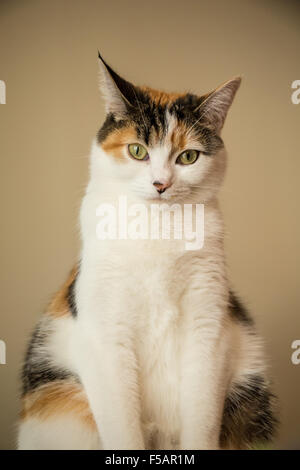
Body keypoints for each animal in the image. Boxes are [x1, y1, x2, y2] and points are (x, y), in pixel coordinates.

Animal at [17, 53, 278, 450]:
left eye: (188, 156)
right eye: (137, 151)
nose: (161, 184)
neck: (158, 228)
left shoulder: (207, 325)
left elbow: (202, 420)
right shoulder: (107, 334)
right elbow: (123, 428)